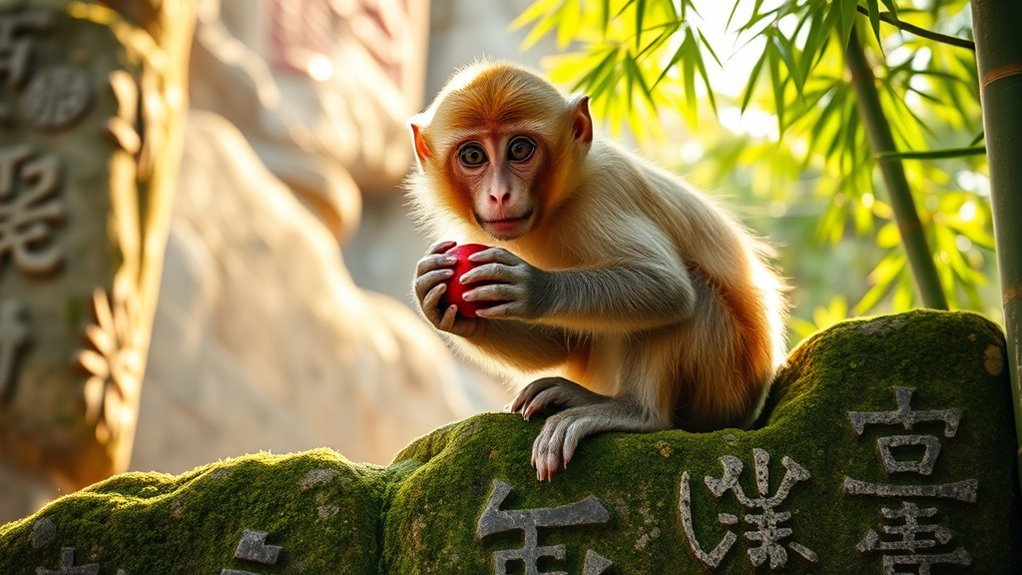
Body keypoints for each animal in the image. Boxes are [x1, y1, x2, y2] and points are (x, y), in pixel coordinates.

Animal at [408, 61, 787, 481]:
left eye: (520, 149)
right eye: (473, 155)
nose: (499, 194)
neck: (554, 207)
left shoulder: (605, 190)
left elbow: (667, 286)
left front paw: (533, 288)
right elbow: (563, 341)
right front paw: (435, 301)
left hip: (725, 384)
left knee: (691, 296)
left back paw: (633, 411)